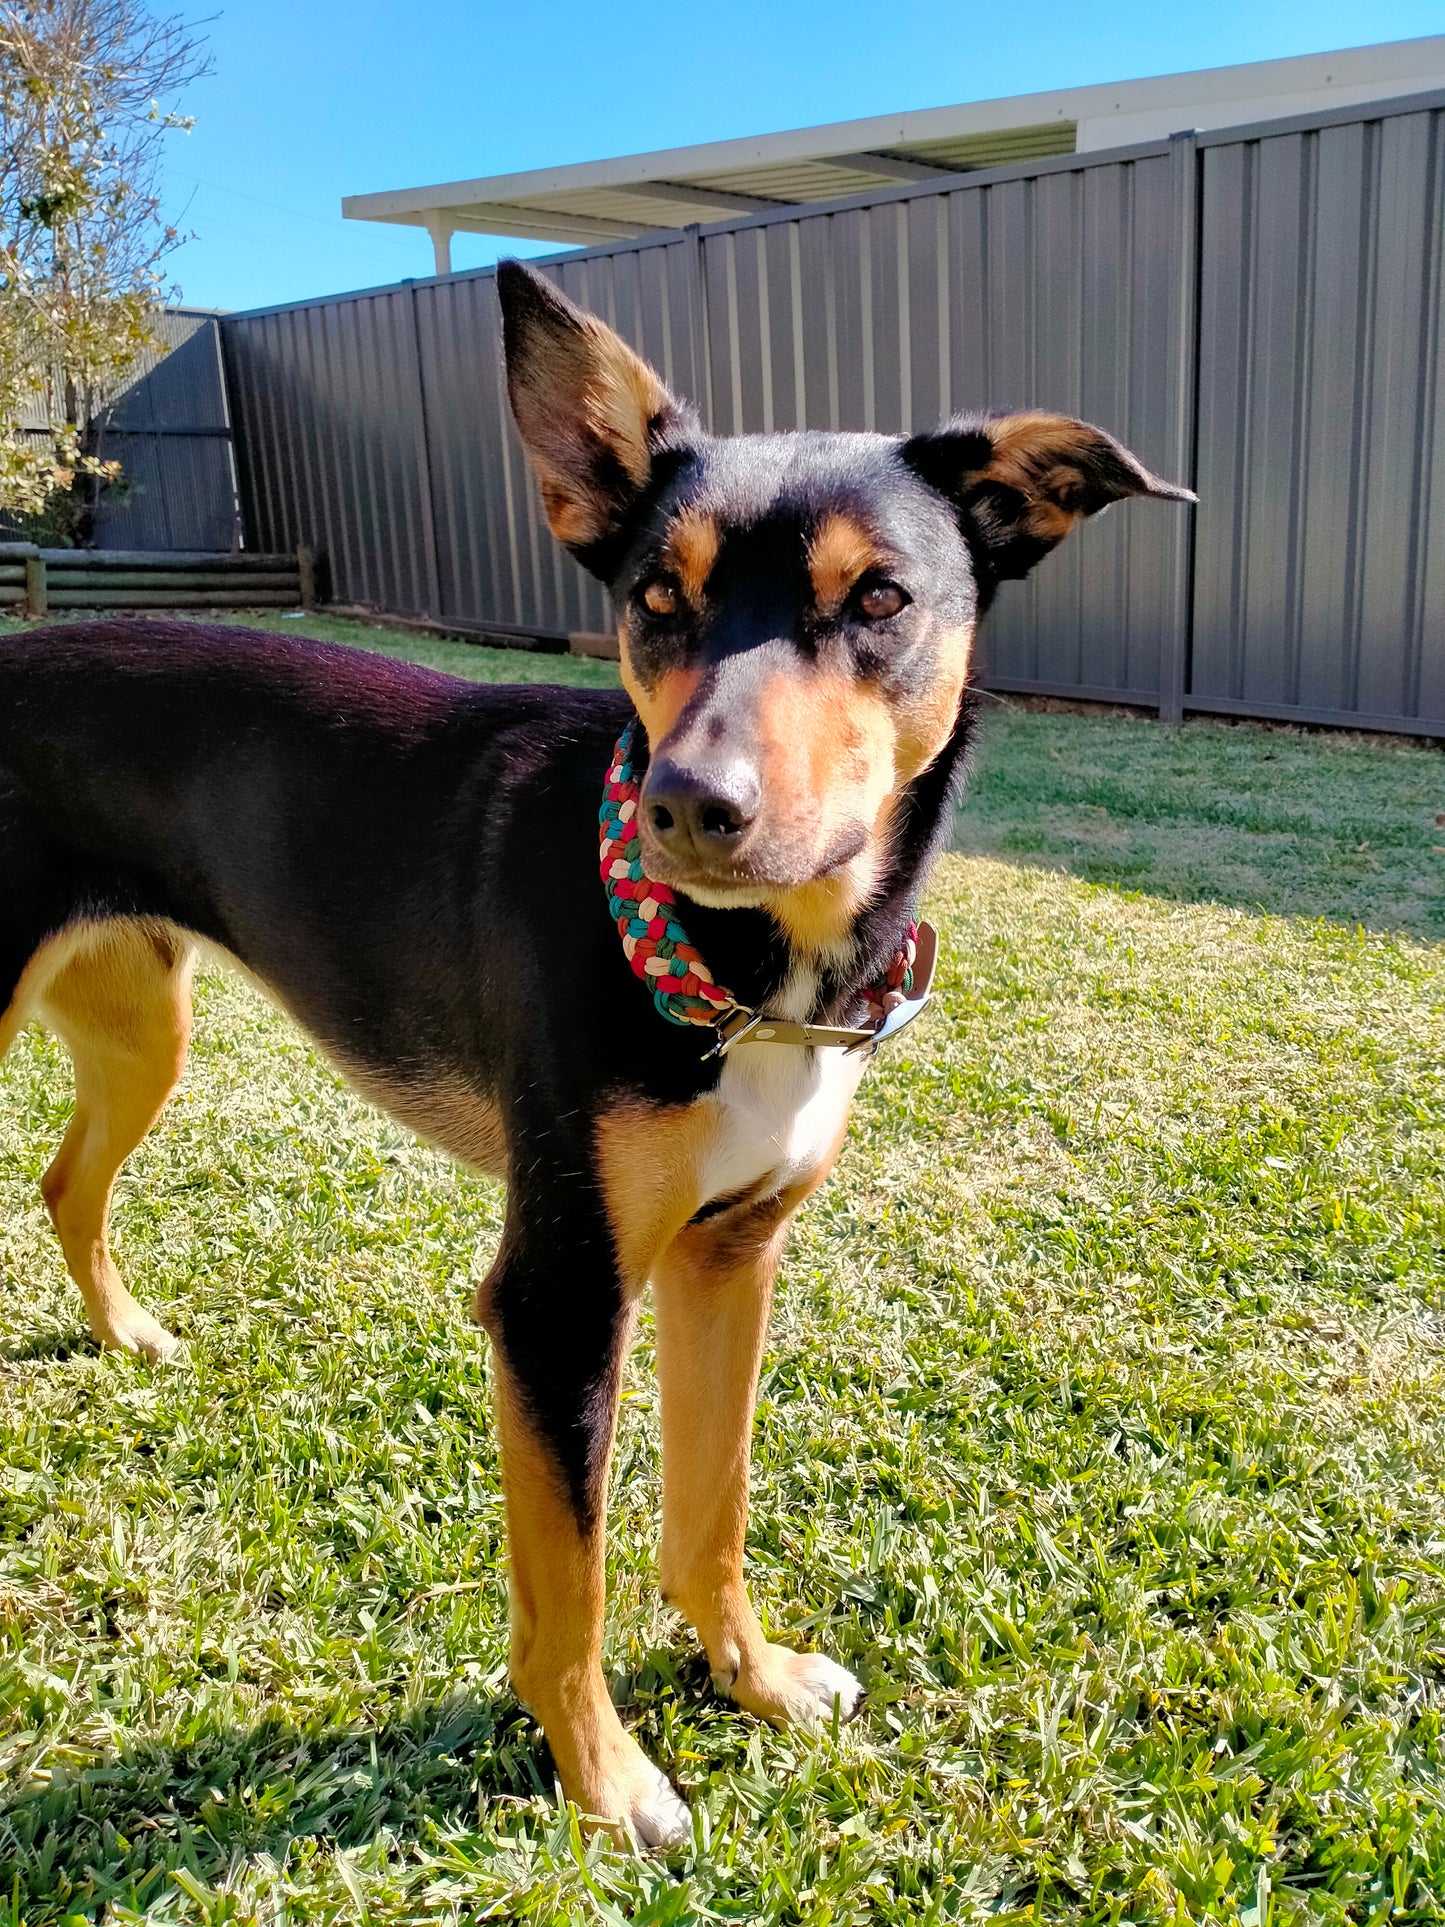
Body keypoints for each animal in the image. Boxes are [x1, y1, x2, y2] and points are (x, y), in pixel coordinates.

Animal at [0, 260, 1194, 1849]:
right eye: (655, 596)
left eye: (879, 597)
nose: (691, 803)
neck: (743, 968)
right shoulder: (559, 1295)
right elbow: (566, 1580)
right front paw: (606, 1775)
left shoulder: (727, 1255)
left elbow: (710, 1509)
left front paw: (751, 1674)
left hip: (143, 1026)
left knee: (67, 1182)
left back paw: (126, 1332)